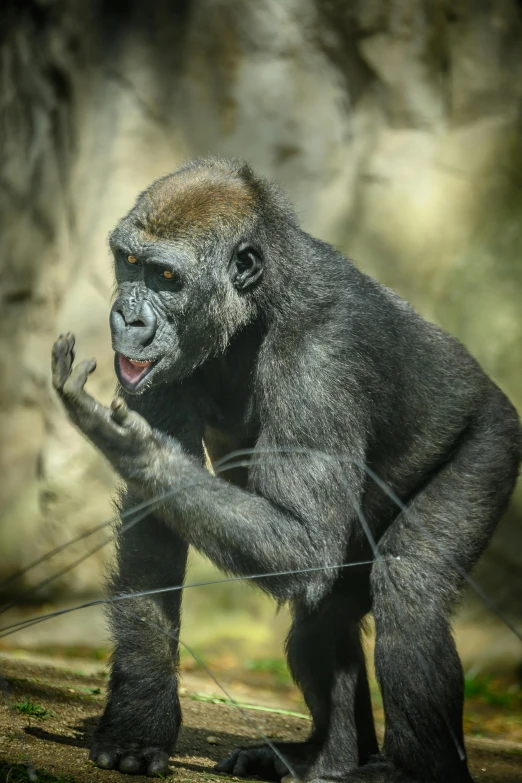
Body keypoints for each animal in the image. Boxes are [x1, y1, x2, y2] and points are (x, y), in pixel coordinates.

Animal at [50, 156, 516, 780]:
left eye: (166, 277)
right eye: (129, 263)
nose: (126, 316)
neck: (255, 304)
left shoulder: (321, 357)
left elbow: (301, 540)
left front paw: (129, 445)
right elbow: (157, 536)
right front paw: (139, 717)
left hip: (490, 441)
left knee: (409, 590)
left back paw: (413, 769)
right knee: (325, 617)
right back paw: (327, 757)